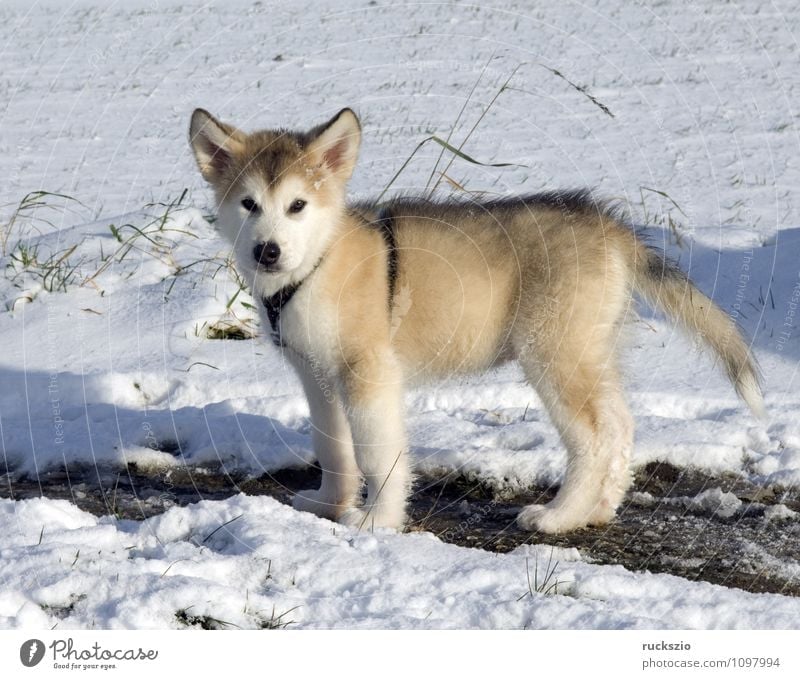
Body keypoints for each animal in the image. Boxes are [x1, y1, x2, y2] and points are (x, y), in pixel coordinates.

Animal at [189, 106, 764, 532]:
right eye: (248, 204)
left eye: (298, 206)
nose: (267, 251)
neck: (319, 263)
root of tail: (610, 225)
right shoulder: (318, 376)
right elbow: (334, 449)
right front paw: (330, 505)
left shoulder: (368, 374)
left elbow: (378, 455)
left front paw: (376, 523)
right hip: (591, 351)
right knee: (621, 426)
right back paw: (599, 510)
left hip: (553, 354)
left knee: (595, 438)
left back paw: (559, 516)